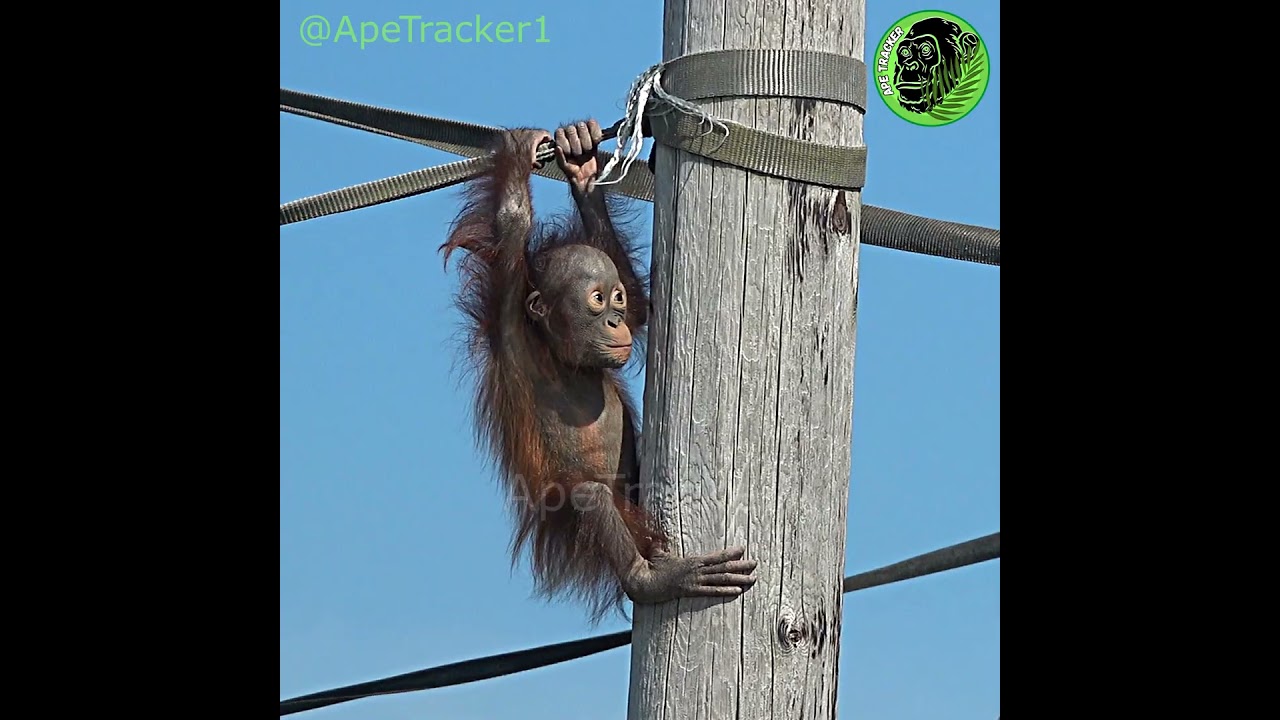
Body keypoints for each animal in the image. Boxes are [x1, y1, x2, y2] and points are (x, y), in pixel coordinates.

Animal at [440, 119, 758, 620]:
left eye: (617, 298)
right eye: (596, 299)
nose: (613, 320)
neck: (561, 356)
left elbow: (644, 311)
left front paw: (583, 165)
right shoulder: (509, 314)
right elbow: (513, 226)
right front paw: (519, 154)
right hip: (566, 513)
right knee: (589, 496)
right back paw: (653, 578)